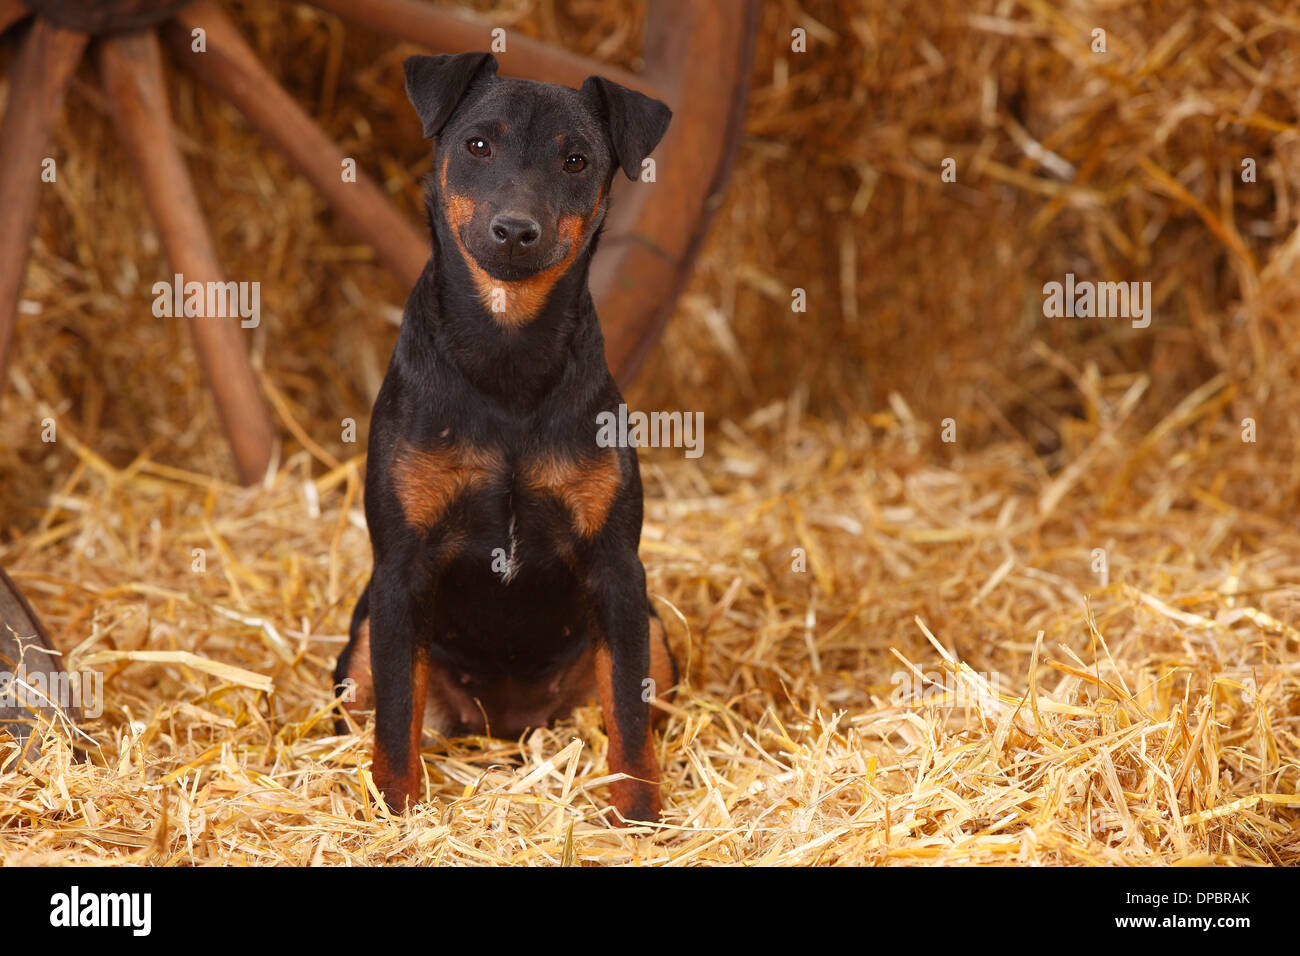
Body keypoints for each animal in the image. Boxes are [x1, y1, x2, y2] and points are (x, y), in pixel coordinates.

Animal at [335, 52, 676, 827]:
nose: (517, 230)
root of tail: (508, 725)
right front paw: (396, 811)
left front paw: (637, 813)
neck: (507, 354)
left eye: (577, 161)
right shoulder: (400, 572)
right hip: (361, 646)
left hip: (657, 639)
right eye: (478, 145)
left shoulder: (618, 571)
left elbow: (628, 714)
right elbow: (396, 717)